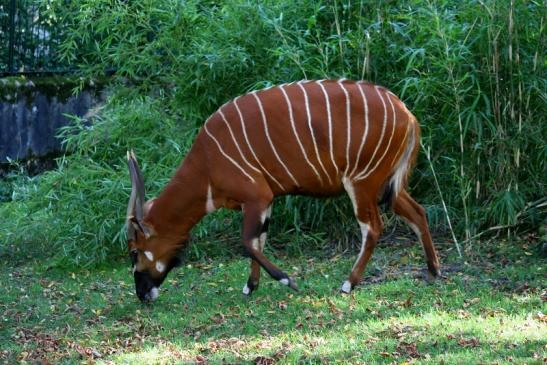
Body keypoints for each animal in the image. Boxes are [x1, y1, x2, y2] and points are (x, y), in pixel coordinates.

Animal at [127, 79, 440, 302]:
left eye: (134, 251)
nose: (142, 293)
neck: (207, 163)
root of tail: (407, 115)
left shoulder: (257, 197)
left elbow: (247, 241)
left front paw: (287, 281)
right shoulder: (264, 203)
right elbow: (258, 241)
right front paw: (250, 286)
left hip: (362, 181)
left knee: (373, 227)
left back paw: (348, 284)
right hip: (389, 186)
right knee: (418, 212)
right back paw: (433, 270)